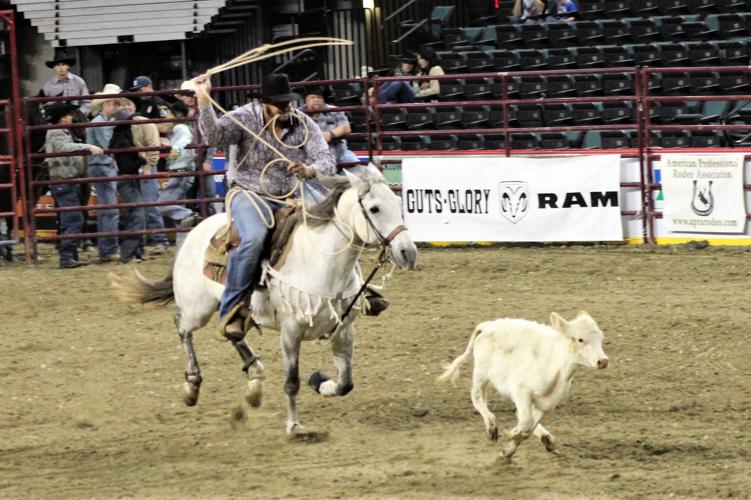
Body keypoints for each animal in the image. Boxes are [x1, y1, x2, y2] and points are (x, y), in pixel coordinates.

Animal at [438, 311, 609, 458]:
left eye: (601, 338)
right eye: (580, 339)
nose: (603, 361)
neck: (555, 366)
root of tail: (488, 325)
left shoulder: (546, 404)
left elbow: (529, 426)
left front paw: (508, 449)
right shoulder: (521, 391)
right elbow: (526, 423)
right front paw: (511, 435)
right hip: (481, 373)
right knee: (477, 397)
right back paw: (491, 427)